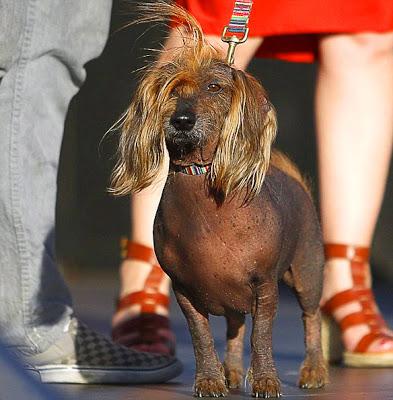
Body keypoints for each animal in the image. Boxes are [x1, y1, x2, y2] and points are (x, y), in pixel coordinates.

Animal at [112, 3, 328, 396]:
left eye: (215, 87)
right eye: (172, 90)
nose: (182, 120)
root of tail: (293, 180)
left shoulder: (265, 288)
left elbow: (261, 338)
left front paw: (265, 379)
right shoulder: (184, 293)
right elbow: (203, 339)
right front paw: (211, 379)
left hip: (307, 274)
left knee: (311, 317)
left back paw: (314, 370)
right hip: (232, 301)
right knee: (233, 330)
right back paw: (230, 371)